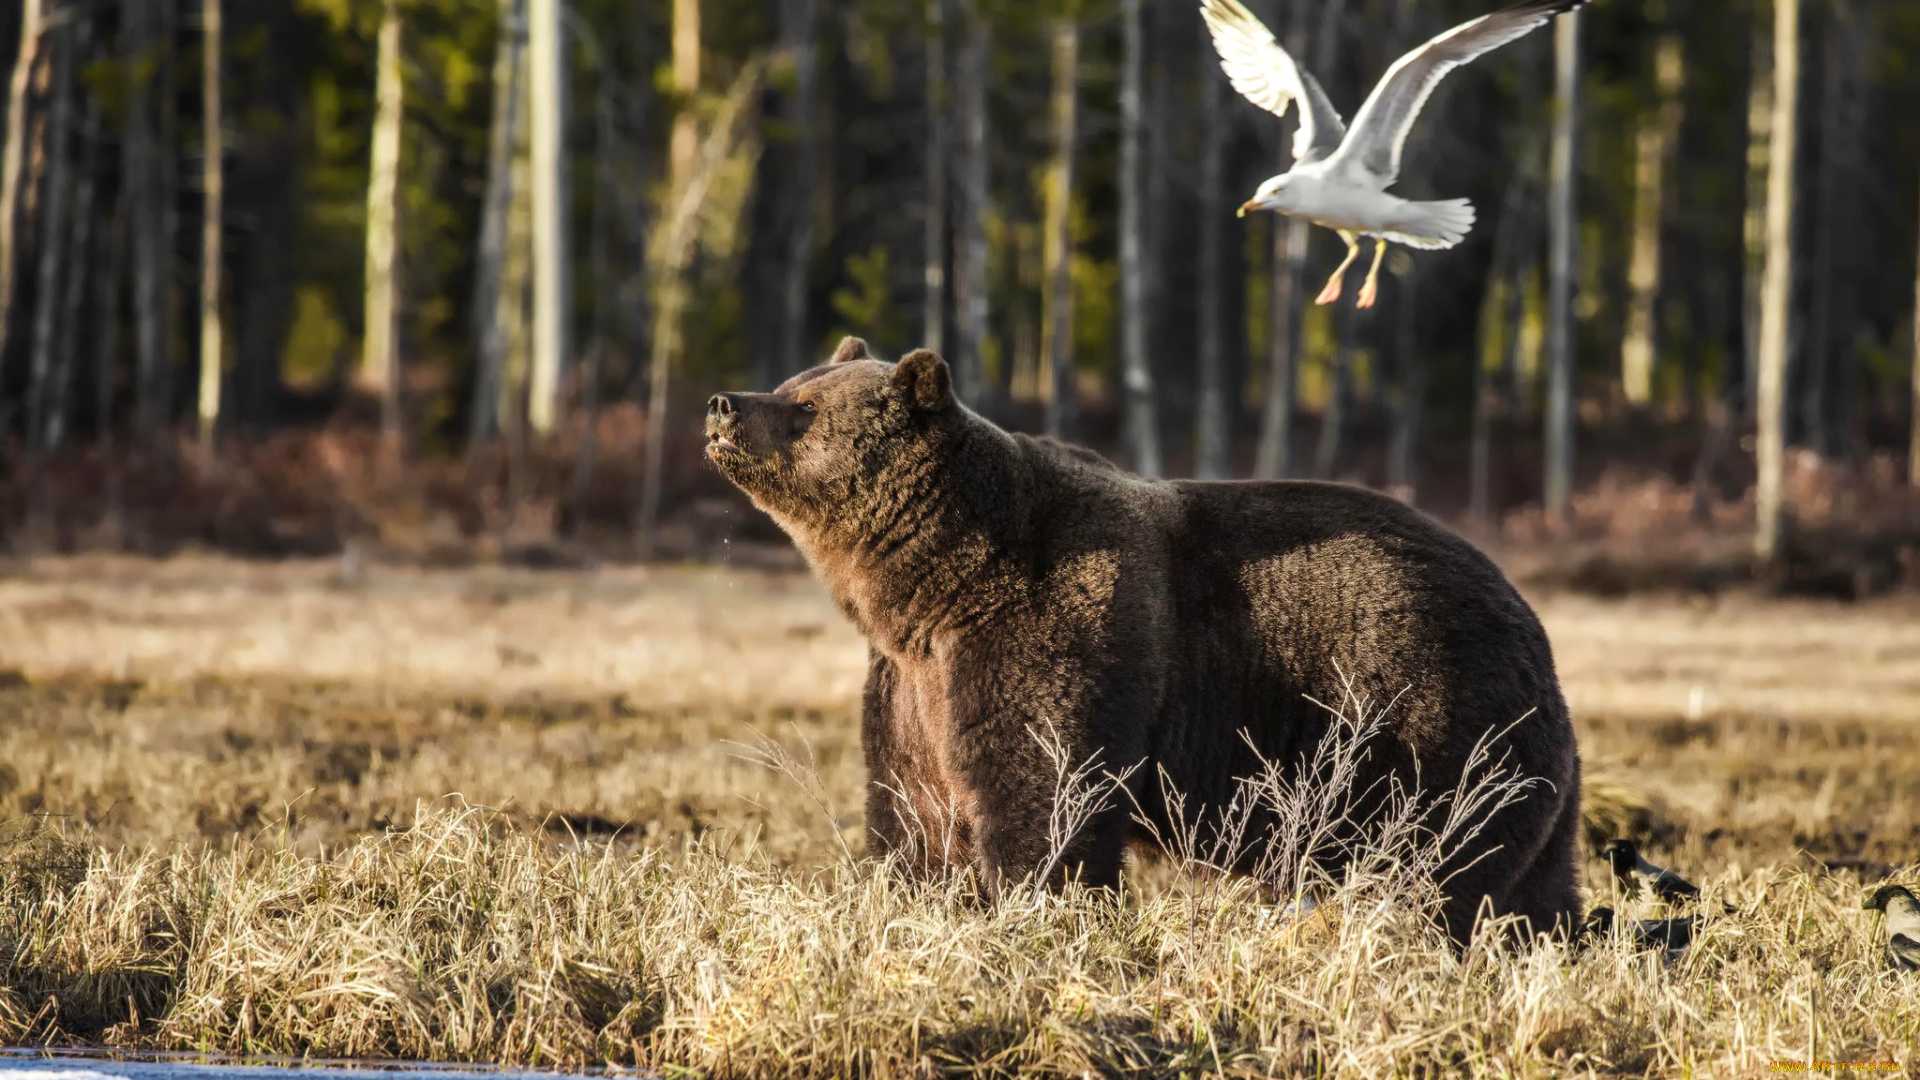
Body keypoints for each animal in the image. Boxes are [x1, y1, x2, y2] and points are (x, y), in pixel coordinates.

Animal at [706, 336, 1574, 941]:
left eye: (805, 408)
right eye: (791, 385)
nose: (722, 403)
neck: (936, 585)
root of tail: (1532, 626)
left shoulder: (1052, 629)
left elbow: (1045, 790)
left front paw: (1040, 908)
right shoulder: (912, 684)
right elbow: (914, 809)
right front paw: (920, 897)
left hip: (1416, 718)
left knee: (1426, 861)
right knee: (1530, 890)